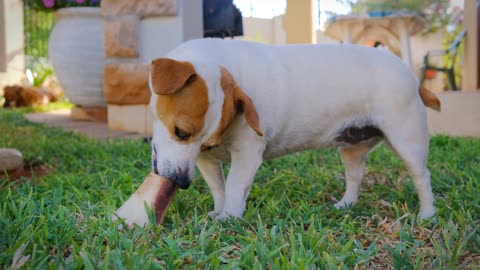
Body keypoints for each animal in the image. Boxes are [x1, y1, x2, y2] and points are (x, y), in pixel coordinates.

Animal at [146, 39, 438, 221]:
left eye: (180, 132)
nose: (181, 182)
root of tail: (410, 74)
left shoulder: (247, 153)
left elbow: (235, 186)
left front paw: (229, 217)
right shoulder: (205, 159)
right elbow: (219, 188)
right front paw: (219, 211)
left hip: (407, 140)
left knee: (422, 176)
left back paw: (427, 213)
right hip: (352, 148)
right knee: (355, 176)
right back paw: (346, 204)